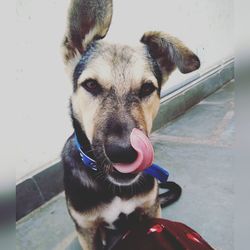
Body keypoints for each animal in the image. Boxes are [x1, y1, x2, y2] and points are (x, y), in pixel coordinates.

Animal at [61, 0, 200, 248]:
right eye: (91, 85)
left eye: (147, 88)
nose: (124, 152)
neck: (114, 188)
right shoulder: (86, 230)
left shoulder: (151, 209)